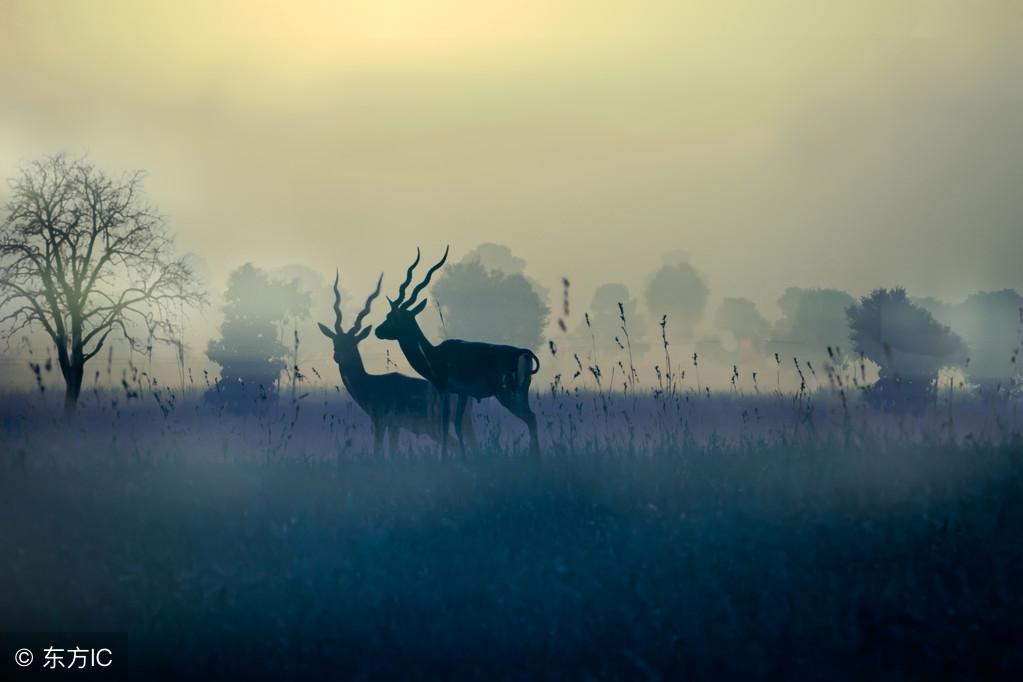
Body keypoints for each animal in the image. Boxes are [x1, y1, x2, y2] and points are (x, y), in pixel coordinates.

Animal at [317, 269, 472, 456]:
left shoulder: (380, 422)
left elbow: (379, 451)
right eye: (335, 341)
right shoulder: (394, 426)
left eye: (353, 342)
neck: (370, 382)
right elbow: (392, 450)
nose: (338, 356)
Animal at [376, 248, 544, 456]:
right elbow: (457, 426)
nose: (377, 331)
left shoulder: (444, 390)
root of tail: (523, 352)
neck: (434, 355)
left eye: (393, 317)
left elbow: (445, 424)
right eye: (388, 315)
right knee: (533, 417)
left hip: (506, 394)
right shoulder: (462, 394)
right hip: (521, 393)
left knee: (530, 418)